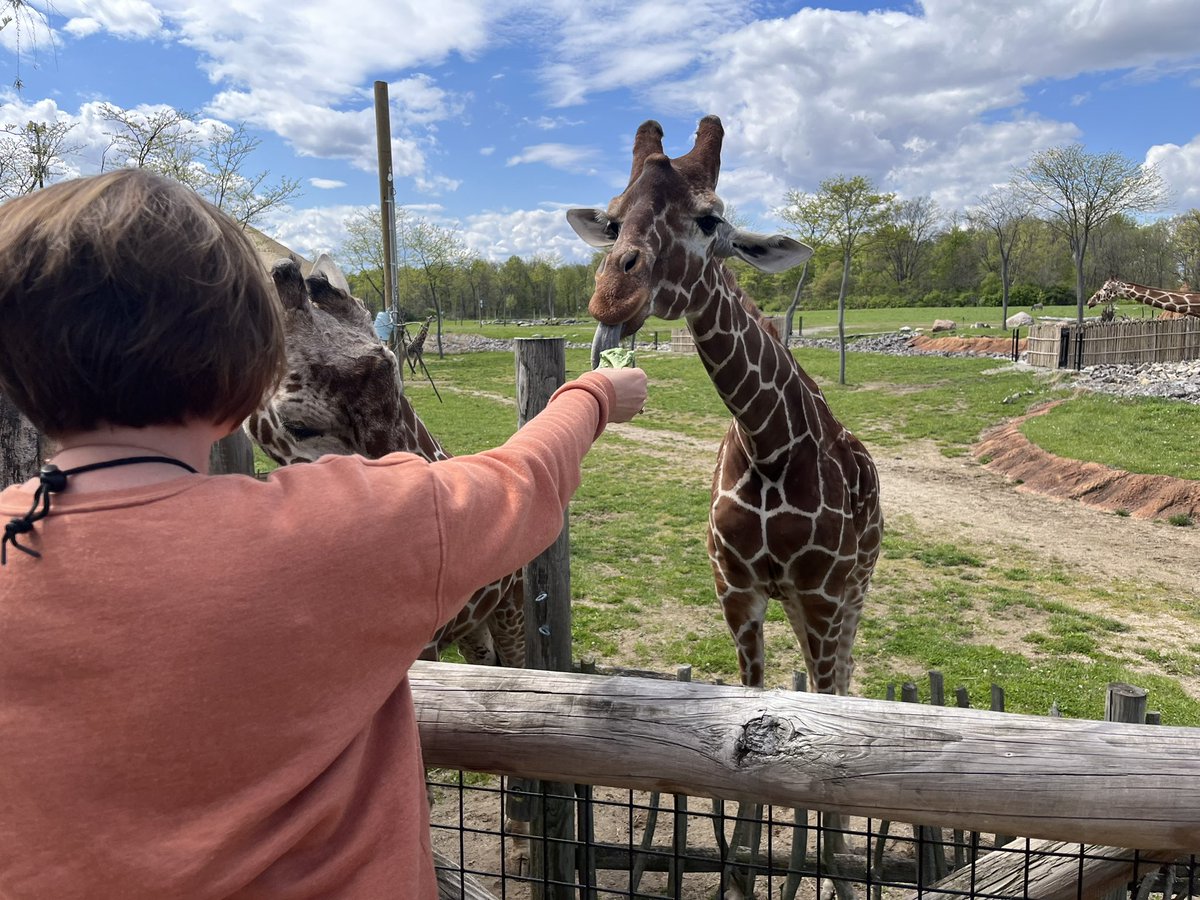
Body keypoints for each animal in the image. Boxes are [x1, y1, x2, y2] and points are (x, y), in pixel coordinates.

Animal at [568, 115, 882, 899]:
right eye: (612, 217)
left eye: (710, 220)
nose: (612, 295)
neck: (769, 443)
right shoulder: (739, 591)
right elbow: (753, 713)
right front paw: (744, 870)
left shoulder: (823, 595)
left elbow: (823, 721)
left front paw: (834, 873)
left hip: (851, 597)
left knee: (842, 682)